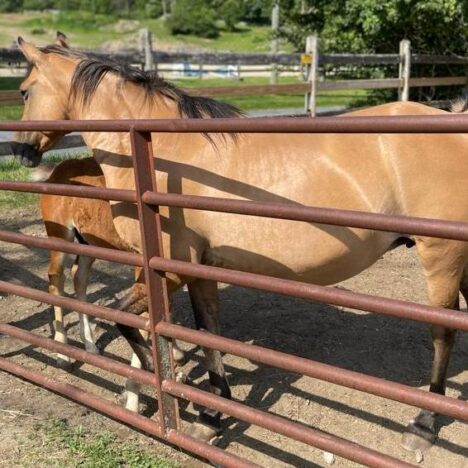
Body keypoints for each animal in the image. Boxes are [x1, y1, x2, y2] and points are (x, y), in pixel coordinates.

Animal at [10, 39, 468, 450]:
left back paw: (424, 425)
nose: (20, 150)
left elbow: (128, 321)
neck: (163, 152)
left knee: (443, 331)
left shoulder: (166, 270)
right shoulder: (198, 269)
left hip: (441, 256)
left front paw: (168, 378)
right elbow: (207, 329)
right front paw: (211, 415)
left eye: (25, 90)